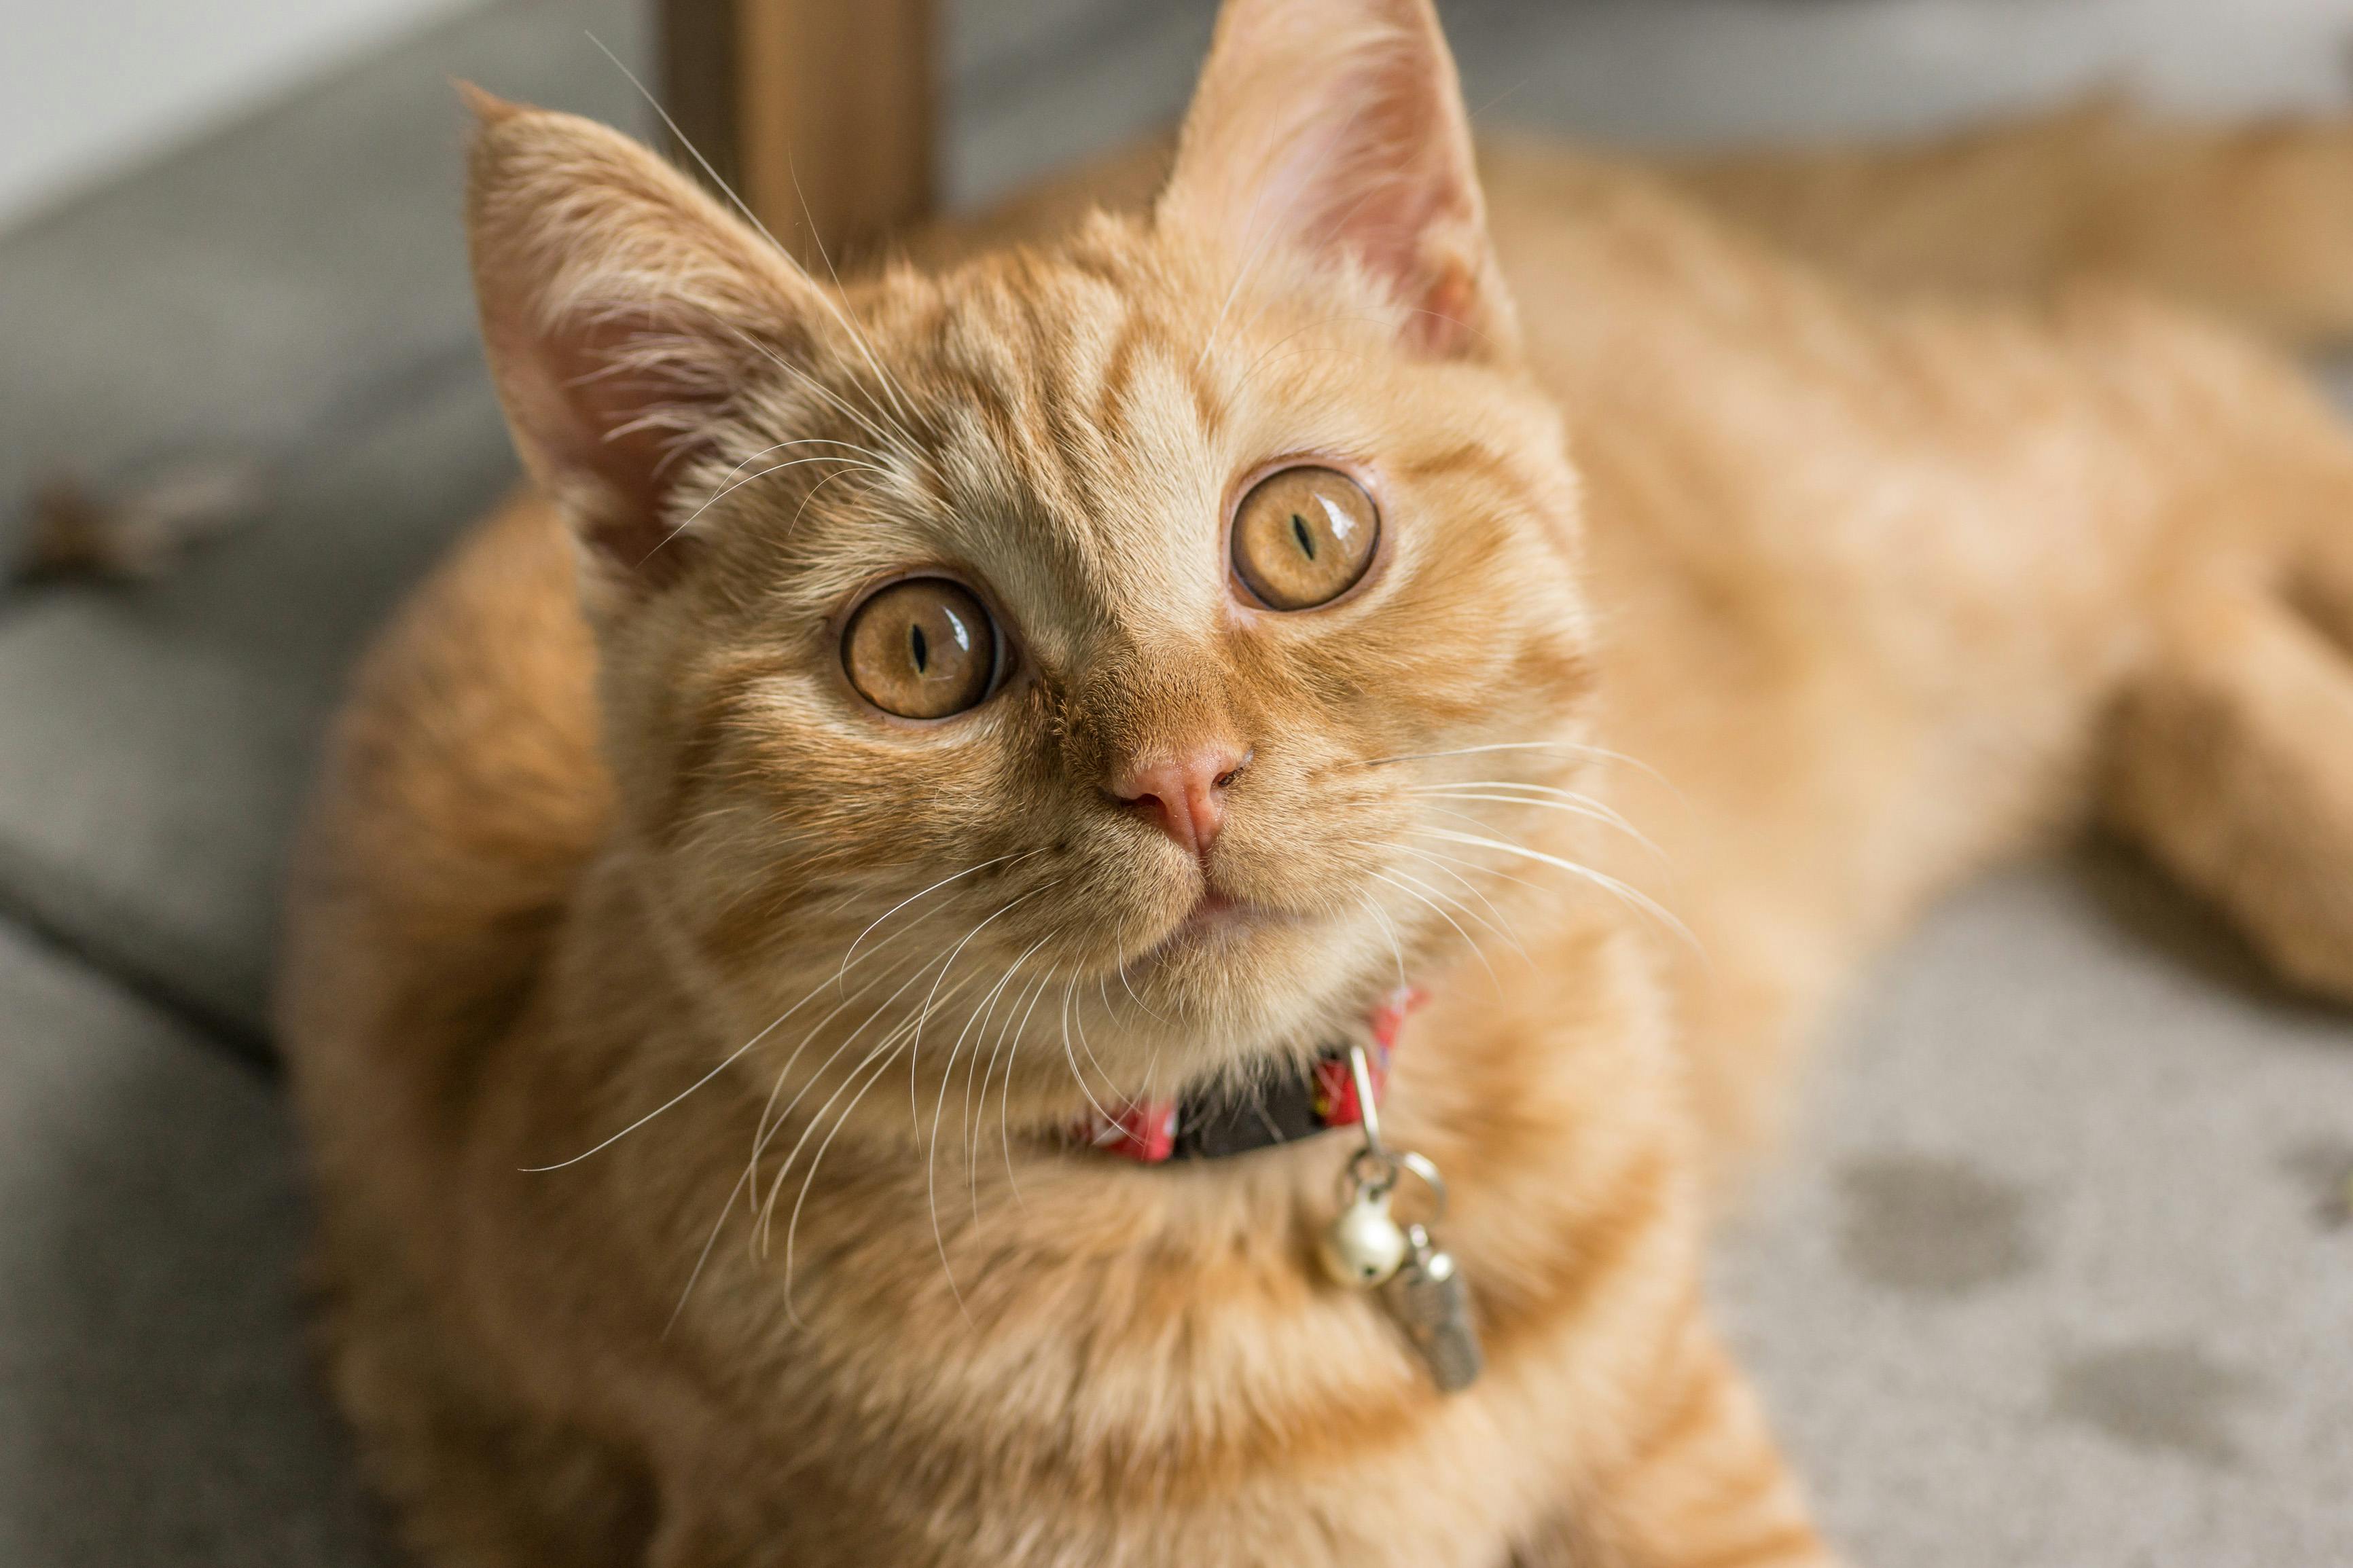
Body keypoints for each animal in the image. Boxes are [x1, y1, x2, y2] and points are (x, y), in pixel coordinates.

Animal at [280, 6, 2353, 1561]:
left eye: (1299, 535)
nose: (1182, 775)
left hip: (1927, 520)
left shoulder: (1670, 1440)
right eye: (919, 650)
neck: (1267, 1191)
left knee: (2182, 400)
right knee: (2157, 611)